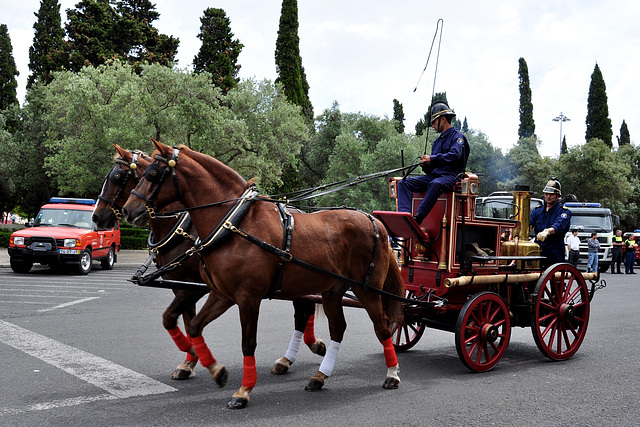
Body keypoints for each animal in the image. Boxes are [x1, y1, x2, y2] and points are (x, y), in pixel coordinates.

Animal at [92, 146, 328, 384]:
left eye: (117, 177)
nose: (97, 217)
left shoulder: (195, 288)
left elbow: (179, 320)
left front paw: (192, 358)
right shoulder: (182, 286)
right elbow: (184, 321)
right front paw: (190, 361)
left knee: (303, 312)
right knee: (304, 310)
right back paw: (296, 355)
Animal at [121, 141, 404, 412]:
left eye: (152, 173)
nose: (128, 211)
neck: (234, 223)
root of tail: (373, 220)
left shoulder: (247, 298)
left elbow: (248, 343)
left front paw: (243, 391)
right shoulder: (221, 294)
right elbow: (194, 326)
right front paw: (215, 370)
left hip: (367, 290)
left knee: (382, 326)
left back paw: (392, 373)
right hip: (332, 290)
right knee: (337, 328)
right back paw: (320, 376)